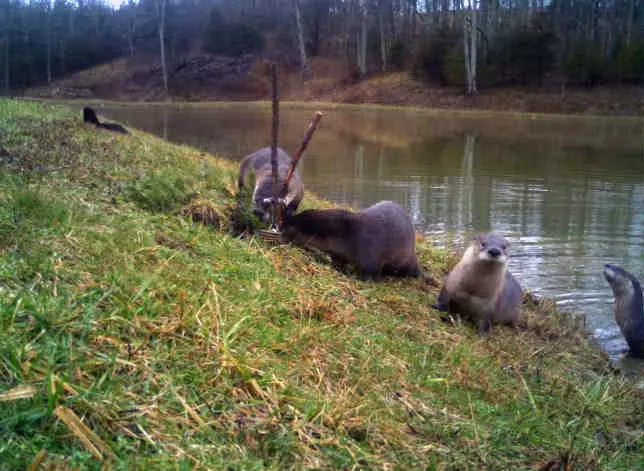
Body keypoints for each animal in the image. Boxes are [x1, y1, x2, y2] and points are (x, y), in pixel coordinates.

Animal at [282, 200, 423, 280]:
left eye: (288, 227)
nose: (279, 230)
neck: (350, 235)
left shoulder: (370, 253)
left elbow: (371, 273)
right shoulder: (337, 254)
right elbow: (338, 262)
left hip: (404, 259)